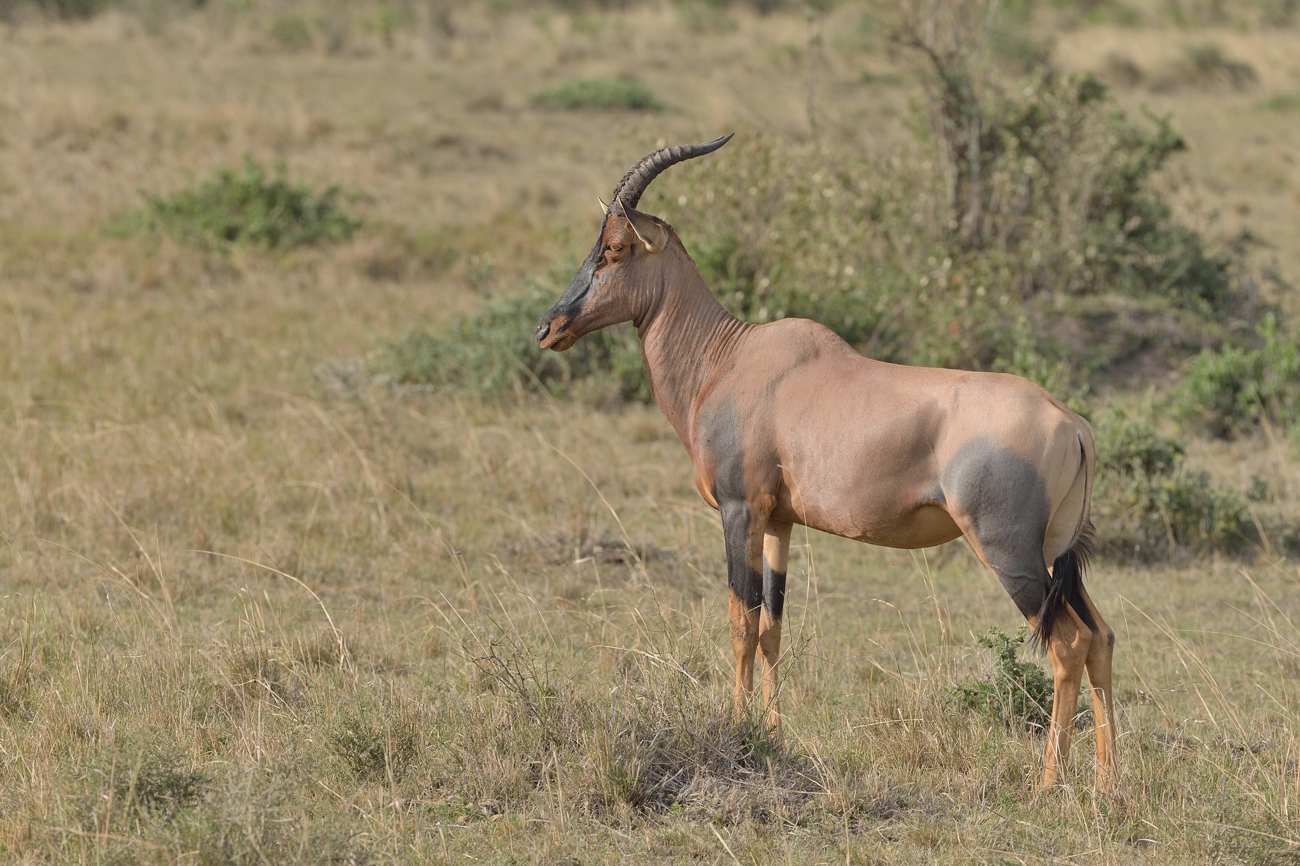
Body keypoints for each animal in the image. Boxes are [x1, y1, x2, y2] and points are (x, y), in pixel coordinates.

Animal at [533, 131, 1112, 785]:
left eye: (613, 248)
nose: (548, 328)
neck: (730, 358)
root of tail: (1073, 424)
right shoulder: (779, 522)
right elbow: (772, 629)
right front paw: (771, 734)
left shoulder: (739, 511)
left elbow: (739, 623)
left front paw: (737, 732)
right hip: (1056, 553)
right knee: (1102, 638)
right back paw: (1109, 781)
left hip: (1010, 551)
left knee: (1067, 644)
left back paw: (1048, 782)